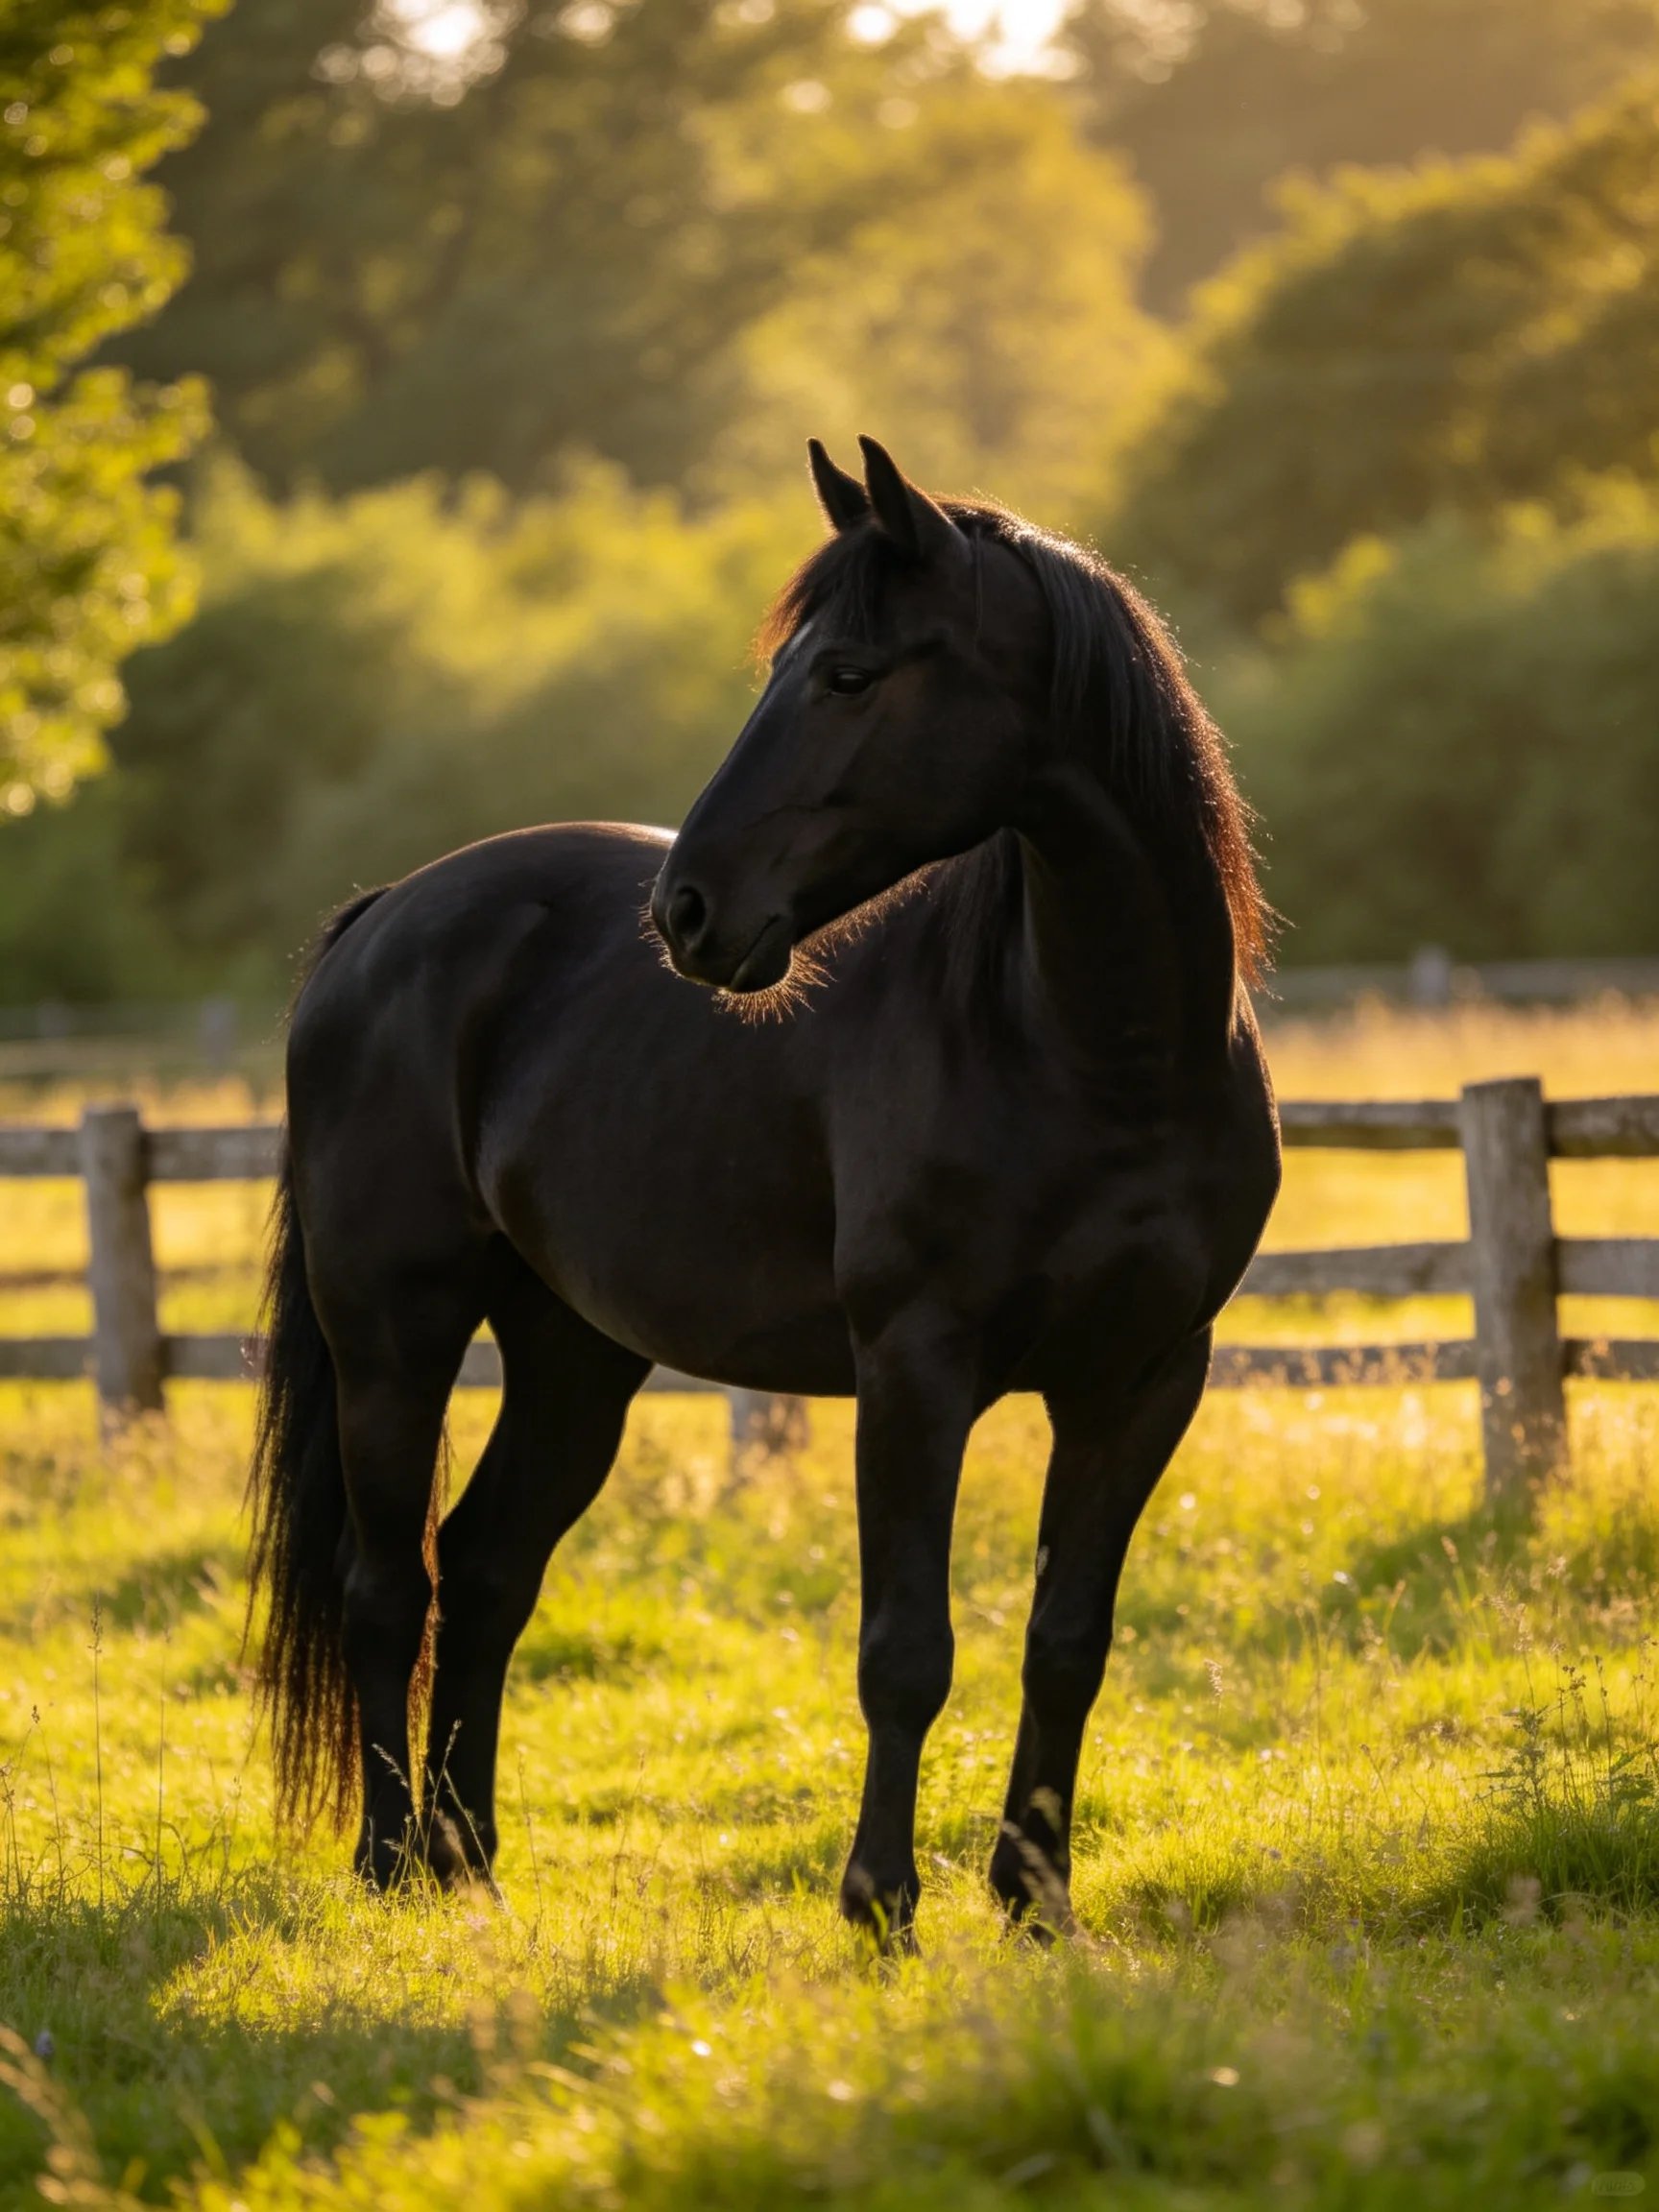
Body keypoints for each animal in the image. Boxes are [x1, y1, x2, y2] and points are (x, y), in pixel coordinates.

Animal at [249, 435, 1281, 1942]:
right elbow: (907, 1649)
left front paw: (1037, 1907)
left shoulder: (1143, 1381)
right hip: (394, 1333)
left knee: (488, 1569)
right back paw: (389, 1866)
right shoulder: (915, 1369)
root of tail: (380, 918)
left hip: (574, 1353)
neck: (1100, 1051)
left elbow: (1068, 1643)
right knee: (390, 1585)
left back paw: (470, 1861)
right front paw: (880, 1904)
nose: (686, 911)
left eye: (848, 673)